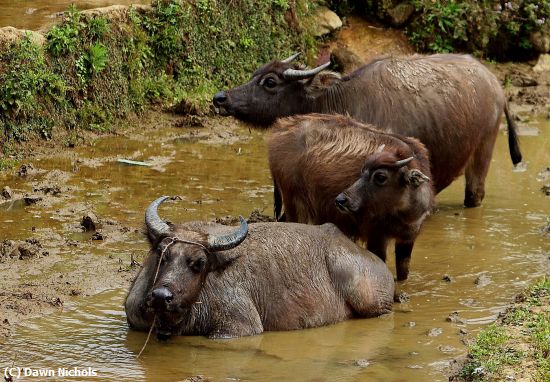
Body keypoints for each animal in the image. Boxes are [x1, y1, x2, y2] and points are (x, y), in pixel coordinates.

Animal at [213, 52, 524, 207]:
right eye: (255, 74)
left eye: (270, 82)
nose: (220, 97)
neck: (341, 102)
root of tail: (496, 85)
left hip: (483, 151)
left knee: (475, 194)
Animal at [270, 113, 436, 280]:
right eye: (362, 171)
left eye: (380, 176)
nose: (341, 200)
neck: (404, 213)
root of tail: (280, 128)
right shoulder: (375, 236)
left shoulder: (407, 240)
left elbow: (403, 273)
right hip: (296, 205)